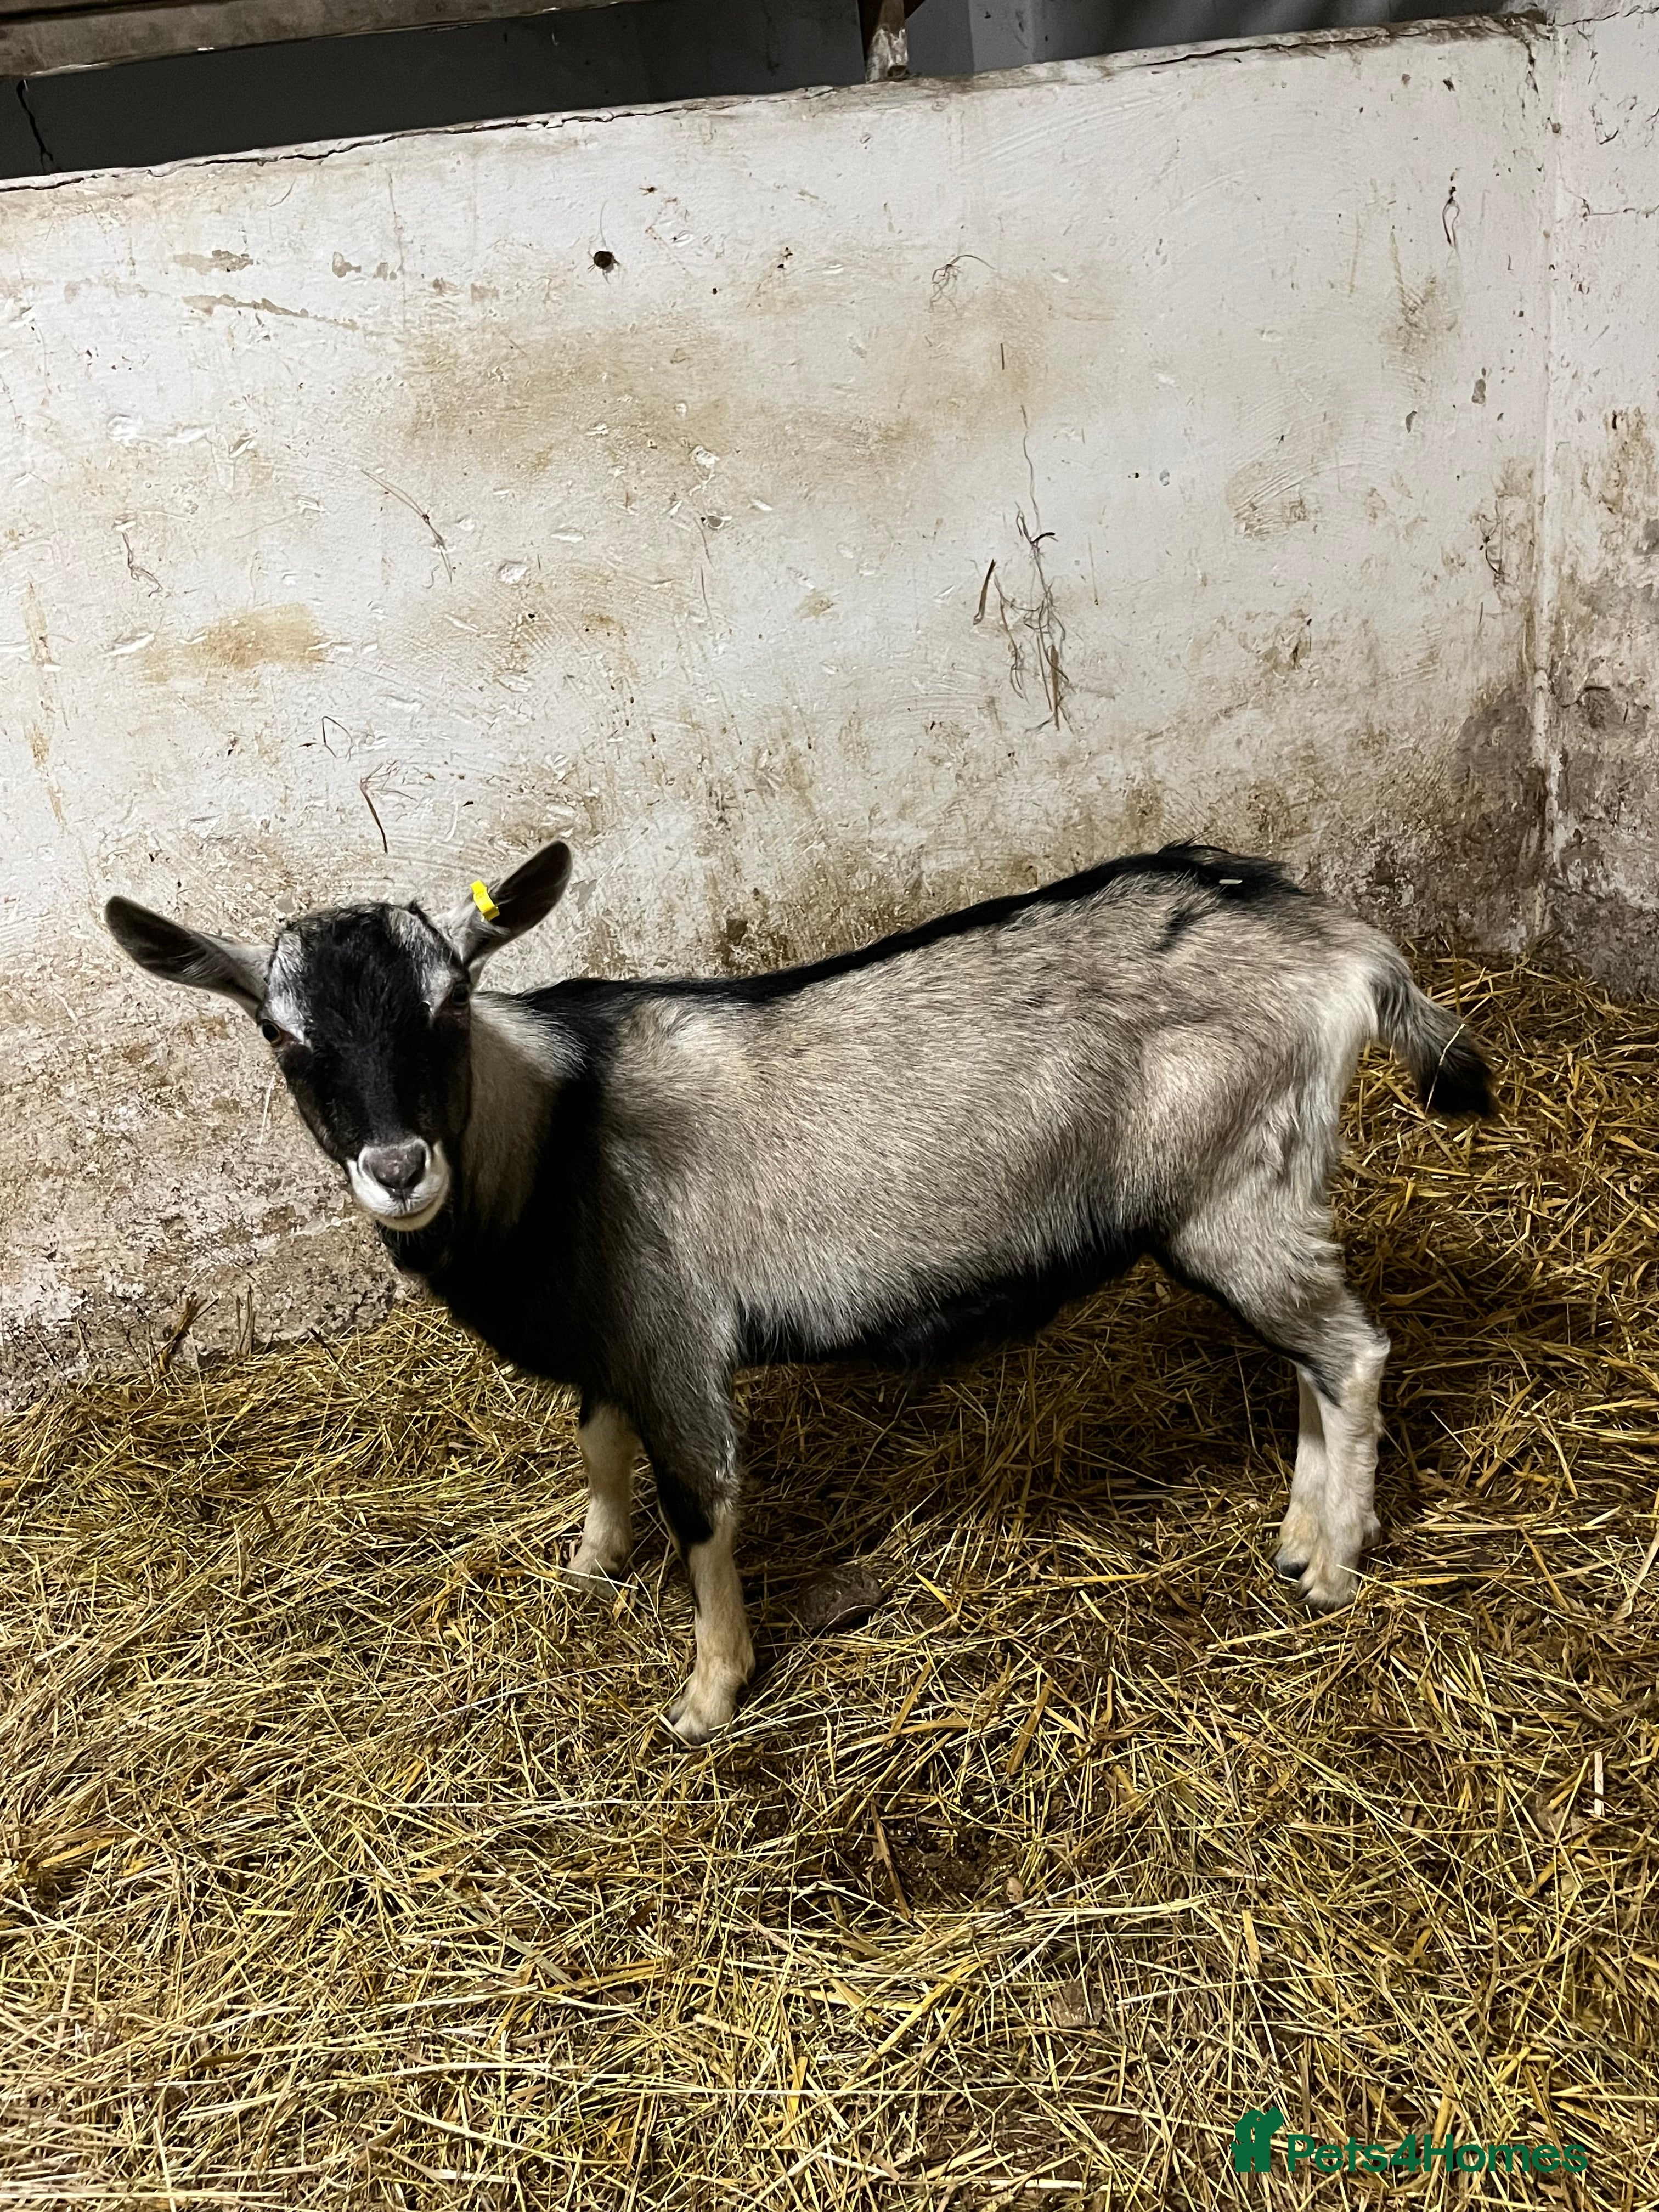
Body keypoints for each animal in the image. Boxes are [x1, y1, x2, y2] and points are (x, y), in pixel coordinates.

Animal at [106, 840, 1491, 1742]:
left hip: (1234, 1197)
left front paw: (709, 1694)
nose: (398, 1170)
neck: (548, 1132)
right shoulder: (607, 1334)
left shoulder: (670, 1334)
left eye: (446, 1012)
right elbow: (599, 1445)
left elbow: (703, 1501)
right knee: (1312, 1358)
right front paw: (591, 1561)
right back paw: (1301, 1531)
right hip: (1253, 1195)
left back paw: (1334, 1568)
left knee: (1352, 1355)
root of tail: (1343, 949)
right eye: (284, 1038)